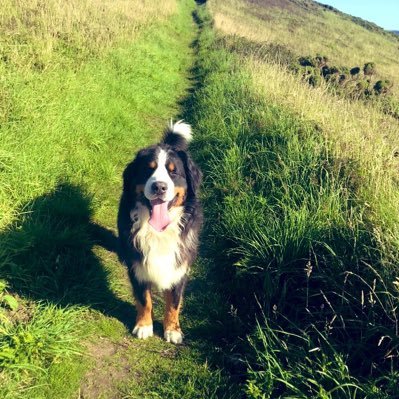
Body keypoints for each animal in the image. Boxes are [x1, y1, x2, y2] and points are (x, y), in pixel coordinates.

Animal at [117, 120, 202, 346]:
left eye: (174, 172)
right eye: (148, 170)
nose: (159, 187)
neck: (158, 231)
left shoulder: (180, 265)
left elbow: (174, 302)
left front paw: (172, 330)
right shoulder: (137, 266)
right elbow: (144, 299)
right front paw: (144, 326)